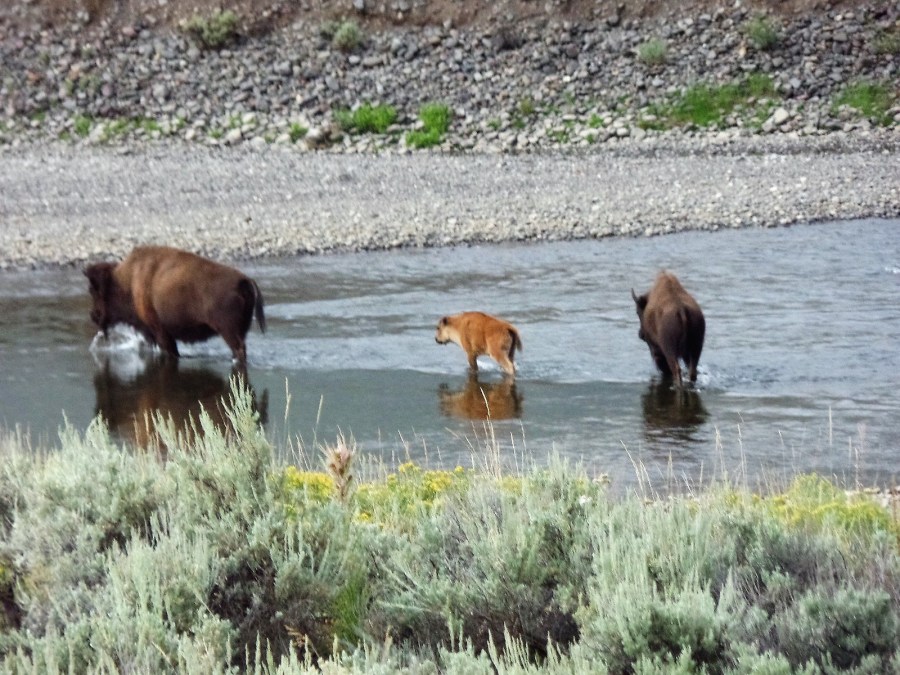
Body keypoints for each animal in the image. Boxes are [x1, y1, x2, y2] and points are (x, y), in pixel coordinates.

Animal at [85, 246, 266, 363]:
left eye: (93, 291)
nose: (93, 315)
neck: (126, 281)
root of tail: (243, 280)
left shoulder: (161, 333)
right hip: (240, 330)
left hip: (228, 331)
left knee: (239, 349)